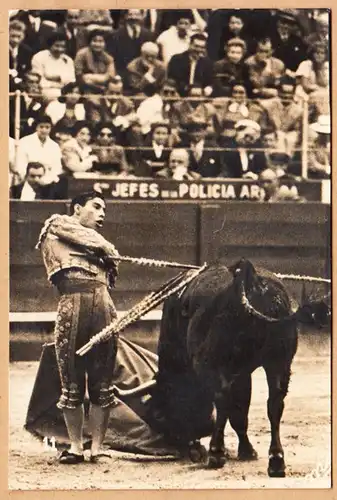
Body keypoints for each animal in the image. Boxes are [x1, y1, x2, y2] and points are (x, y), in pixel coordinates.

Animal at [144, 258, 328, 476]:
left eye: (163, 414)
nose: (186, 448)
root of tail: (250, 280)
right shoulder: (242, 373)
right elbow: (241, 410)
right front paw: (247, 451)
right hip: (279, 362)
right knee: (275, 404)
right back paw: (276, 461)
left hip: (215, 363)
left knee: (223, 400)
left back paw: (216, 454)